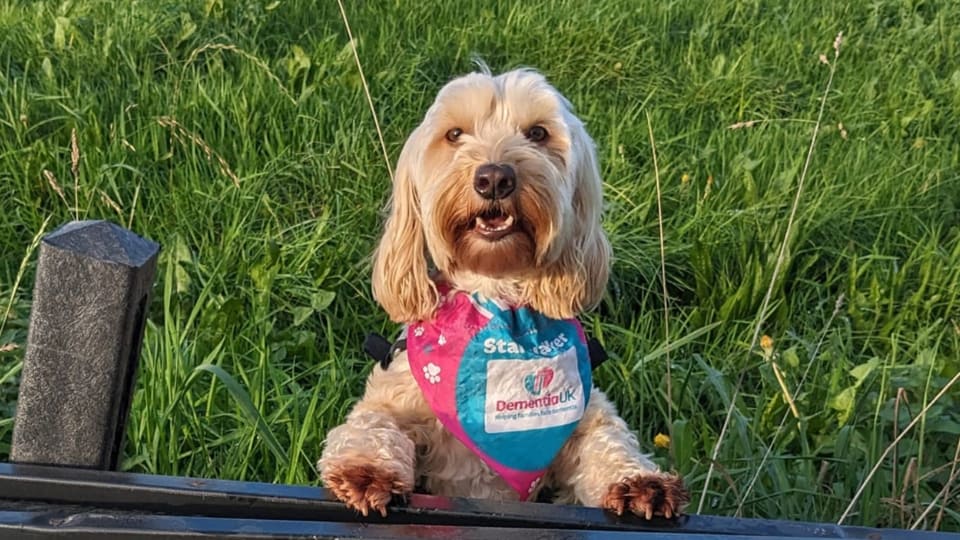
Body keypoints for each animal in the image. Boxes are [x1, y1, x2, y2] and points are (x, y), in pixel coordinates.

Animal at [318, 66, 688, 520]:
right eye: (454, 134)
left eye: (538, 133)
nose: (494, 178)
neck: (498, 303)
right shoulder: (395, 391)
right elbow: (371, 423)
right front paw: (367, 473)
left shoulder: (586, 407)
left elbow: (608, 437)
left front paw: (638, 481)